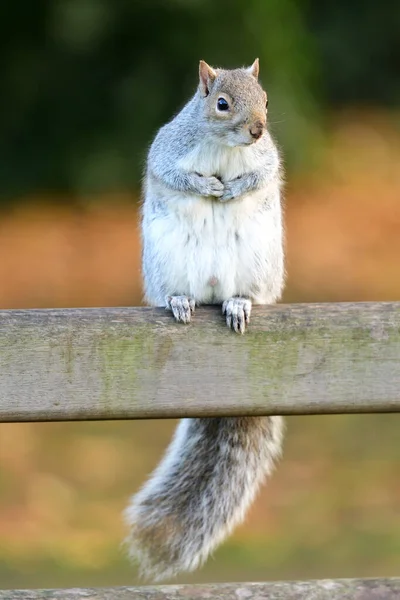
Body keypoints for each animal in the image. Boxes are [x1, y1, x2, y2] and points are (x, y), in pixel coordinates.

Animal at [124, 59, 284, 580]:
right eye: (221, 103)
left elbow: (263, 172)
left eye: (266, 99)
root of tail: (212, 290)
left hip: (257, 262)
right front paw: (208, 185)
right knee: (180, 292)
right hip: (168, 261)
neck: (226, 148)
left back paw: (238, 304)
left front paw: (232, 188)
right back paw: (180, 302)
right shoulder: (169, 147)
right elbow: (170, 171)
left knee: (242, 293)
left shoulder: (266, 159)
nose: (258, 130)